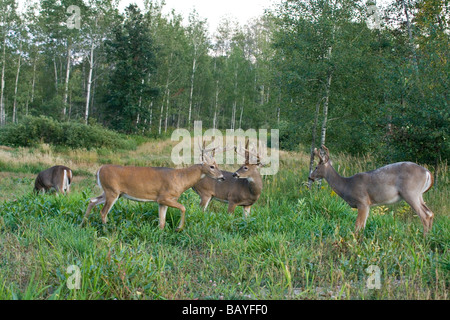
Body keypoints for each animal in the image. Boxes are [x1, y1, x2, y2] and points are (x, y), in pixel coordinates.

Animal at [81, 144, 225, 231]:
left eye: (217, 165)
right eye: (212, 166)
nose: (222, 177)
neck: (181, 179)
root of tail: (99, 169)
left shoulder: (161, 201)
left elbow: (162, 221)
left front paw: (160, 234)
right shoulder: (164, 197)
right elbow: (183, 208)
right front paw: (179, 228)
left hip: (110, 192)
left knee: (91, 200)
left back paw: (83, 224)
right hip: (112, 191)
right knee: (103, 212)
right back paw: (107, 230)